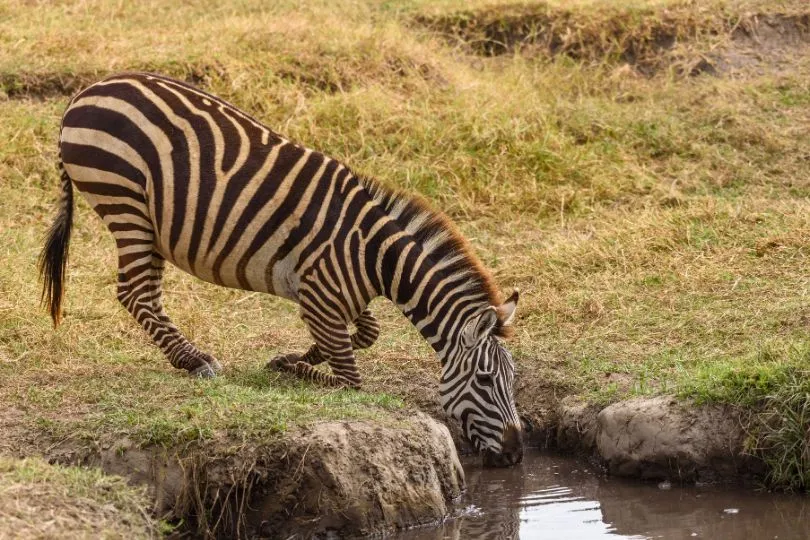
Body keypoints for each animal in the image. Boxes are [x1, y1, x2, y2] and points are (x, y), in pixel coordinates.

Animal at [39, 73, 523, 465]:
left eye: (512, 379)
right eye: (485, 380)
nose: (517, 455)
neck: (375, 256)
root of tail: (88, 90)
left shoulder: (333, 295)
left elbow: (366, 333)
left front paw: (291, 358)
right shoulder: (321, 296)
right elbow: (352, 383)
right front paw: (301, 370)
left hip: (145, 220)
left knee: (145, 294)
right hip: (125, 202)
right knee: (135, 292)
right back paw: (194, 360)